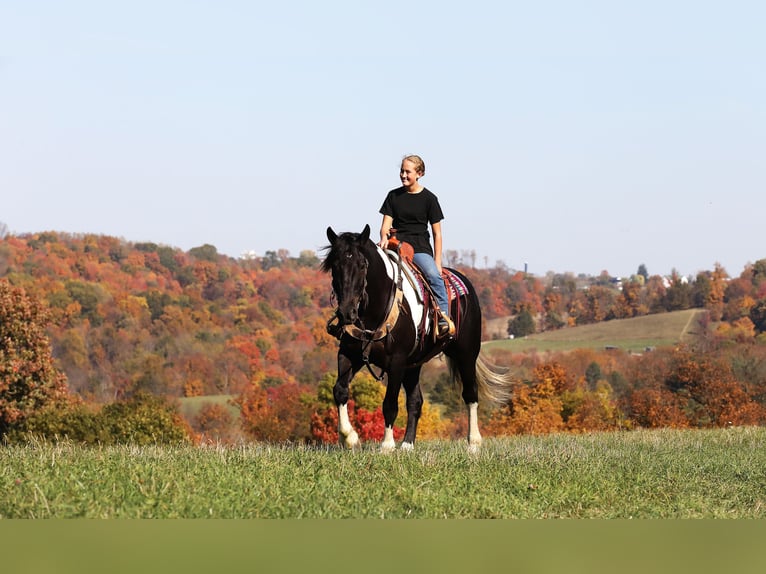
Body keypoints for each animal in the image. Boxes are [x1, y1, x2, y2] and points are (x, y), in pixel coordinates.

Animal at [320, 225, 512, 454]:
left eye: (362, 265)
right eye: (334, 266)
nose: (346, 313)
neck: (372, 313)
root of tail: (466, 285)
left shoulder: (396, 361)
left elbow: (390, 403)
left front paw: (386, 445)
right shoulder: (350, 354)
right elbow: (340, 390)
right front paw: (349, 437)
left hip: (466, 355)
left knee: (470, 394)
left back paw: (473, 442)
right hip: (413, 365)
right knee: (415, 401)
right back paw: (407, 444)